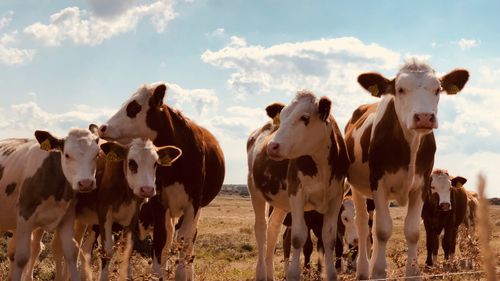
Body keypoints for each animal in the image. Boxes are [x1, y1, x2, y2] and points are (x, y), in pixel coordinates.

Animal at [0, 127, 99, 280]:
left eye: (97, 154)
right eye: (67, 155)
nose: (86, 183)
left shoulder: (67, 217)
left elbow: (70, 253)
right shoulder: (25, 216)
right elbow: (21, 257)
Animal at [69, 138, 181, 280]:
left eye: (155, 163)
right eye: (132, 162)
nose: (147, 190)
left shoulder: (135, 218)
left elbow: (128, 250)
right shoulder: (104, 214)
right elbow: (107, 251)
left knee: (85, 247)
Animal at [97, 82, 225, 278]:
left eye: (134, 107)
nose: (103, 127)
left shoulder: (193, 203)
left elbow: (184, 239)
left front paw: (182, 275)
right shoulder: (158, 201)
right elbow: (161, 239)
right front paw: (157, 274)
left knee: (190, 239)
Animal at [245, 90, 348, 280]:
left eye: (304, 117)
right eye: (283, 116)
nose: (272, 146)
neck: (321, 166)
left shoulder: (336, 198)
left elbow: (329, 237)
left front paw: (331, 274)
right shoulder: (297, 194)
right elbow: (298, 237)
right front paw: (293, 274)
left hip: (281, 202)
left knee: (273, 229)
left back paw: (270, 274)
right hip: (254, 190)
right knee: (261, 229)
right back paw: (261, 273)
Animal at [344, 59, 468, 278]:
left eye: (437, 89)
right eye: (400, 89)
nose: (424, 117)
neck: (410, 143)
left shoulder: (421, 186)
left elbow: (412, 231)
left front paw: (412, 272)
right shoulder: (379, 184)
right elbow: (383, 230)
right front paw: (378, 273)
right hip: (357, 188)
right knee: (363, 225)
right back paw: (364, 270)